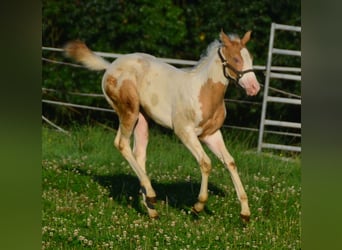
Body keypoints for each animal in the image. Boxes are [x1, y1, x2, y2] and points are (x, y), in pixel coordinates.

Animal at [65, 30, 260, 221]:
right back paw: (151, 195)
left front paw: (245, 213)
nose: (254, 88)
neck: (204, 91)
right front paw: (198, 205)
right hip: (129, 111)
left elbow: (230, 162)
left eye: (250, 57)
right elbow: (206, 163)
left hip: (142, 119)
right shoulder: (184, 131)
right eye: (235, 59)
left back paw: (152, 210)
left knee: (139, 154)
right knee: (121, 143)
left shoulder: (211, 134)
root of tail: (110, 66)